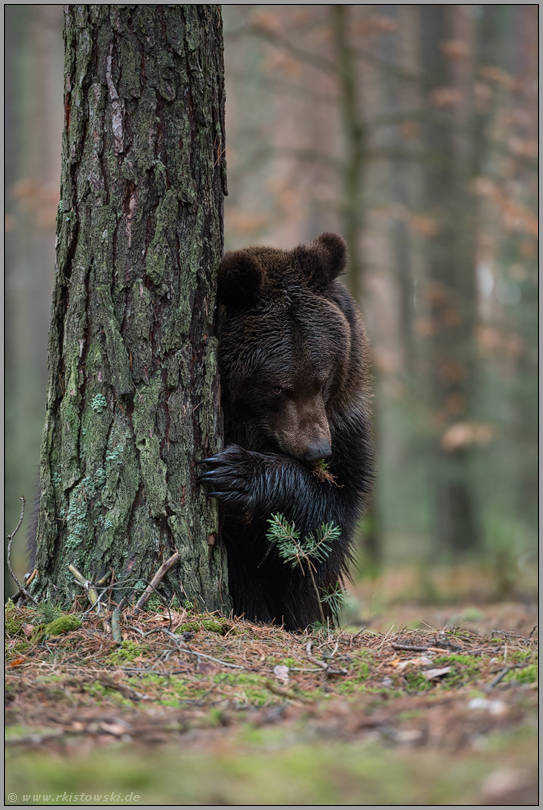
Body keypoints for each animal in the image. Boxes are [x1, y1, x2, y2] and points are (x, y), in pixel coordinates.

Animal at [200, 230, 374, 628]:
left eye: (323, 378)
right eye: (279, 387)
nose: (318, 450)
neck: (253, 430)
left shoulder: (346, 426)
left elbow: (330, 516)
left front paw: (237, 474)